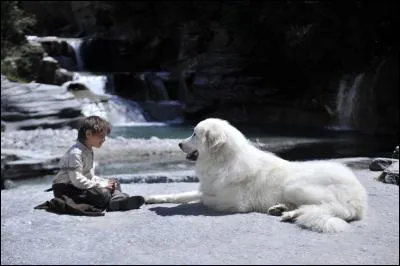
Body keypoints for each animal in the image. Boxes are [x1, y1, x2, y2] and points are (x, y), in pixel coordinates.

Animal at [145, 117, 368, 232]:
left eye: (194, 133)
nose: (178, 144)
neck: (223, 161)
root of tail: (359, 198)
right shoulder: (207, 186)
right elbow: (183, 194)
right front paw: (152, 198)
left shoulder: (232, 202)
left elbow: (202, 198)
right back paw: (282, 210)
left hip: (296, 186)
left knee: (326, 208)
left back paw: (289, 213)